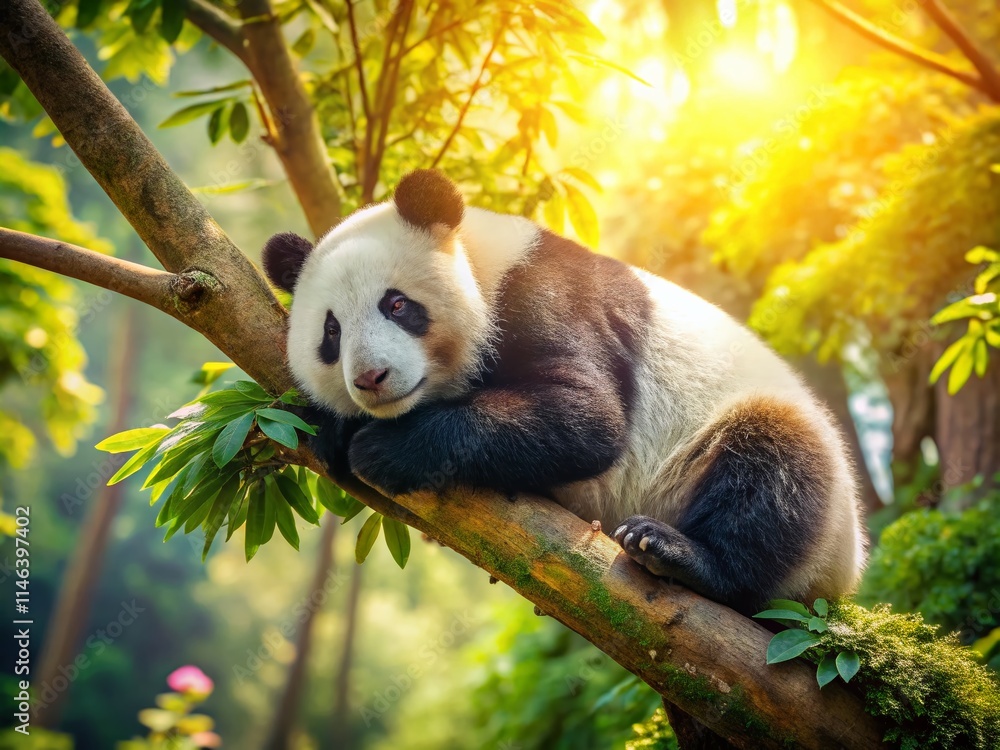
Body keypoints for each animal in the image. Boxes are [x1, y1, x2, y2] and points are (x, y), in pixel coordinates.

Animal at [261, 169, 865, 615]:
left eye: (396, 304)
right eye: (331, 333)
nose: (370, 379)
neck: (480, 257)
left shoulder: (544, 295)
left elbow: (587, 419)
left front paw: (384, 447)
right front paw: (335, 432)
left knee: (774, 470)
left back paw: (675, 551)